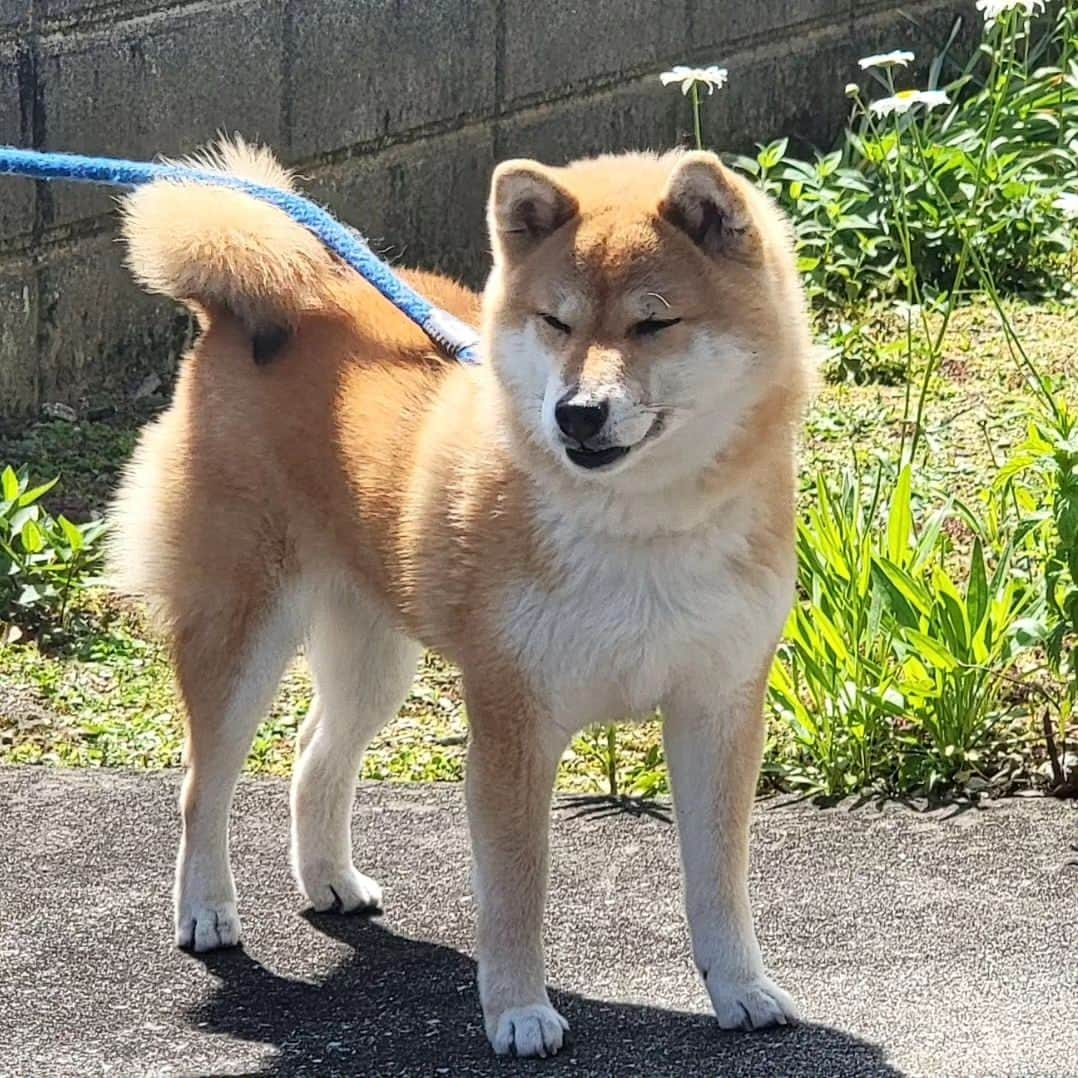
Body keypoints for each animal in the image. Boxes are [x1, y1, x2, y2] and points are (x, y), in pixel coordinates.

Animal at [111, 139, 810, 1056]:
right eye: (556, 322)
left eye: (653, 324)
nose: (576, 414)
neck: (640, 524)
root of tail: (252, 306)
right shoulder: (514, 716)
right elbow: (515, 888)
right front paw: (518, 1012)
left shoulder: (719, 703)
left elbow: (719, 880)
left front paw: (741, 988)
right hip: (241, 628)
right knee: (204, 782)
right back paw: (205, 908)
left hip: (374, 652)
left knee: (314, 751)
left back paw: (329, 878)